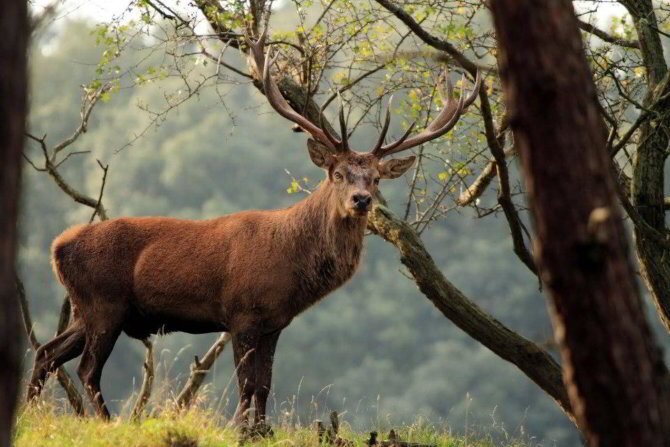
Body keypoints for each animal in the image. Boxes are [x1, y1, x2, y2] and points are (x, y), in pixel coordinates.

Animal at [25, 32, 478, 434]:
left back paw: (33, 415)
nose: (361, 199)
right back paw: (106, 423)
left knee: (48, 352)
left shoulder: (275, 322)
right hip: (105, 303)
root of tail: (57, 247)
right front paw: (242, 430)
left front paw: (263, 430)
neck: (292, 265)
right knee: (85, 368)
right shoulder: (241, 312)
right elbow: (246, 385)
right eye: (337, 174)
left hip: (85, 307)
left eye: (376, 178)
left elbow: (264, 385)